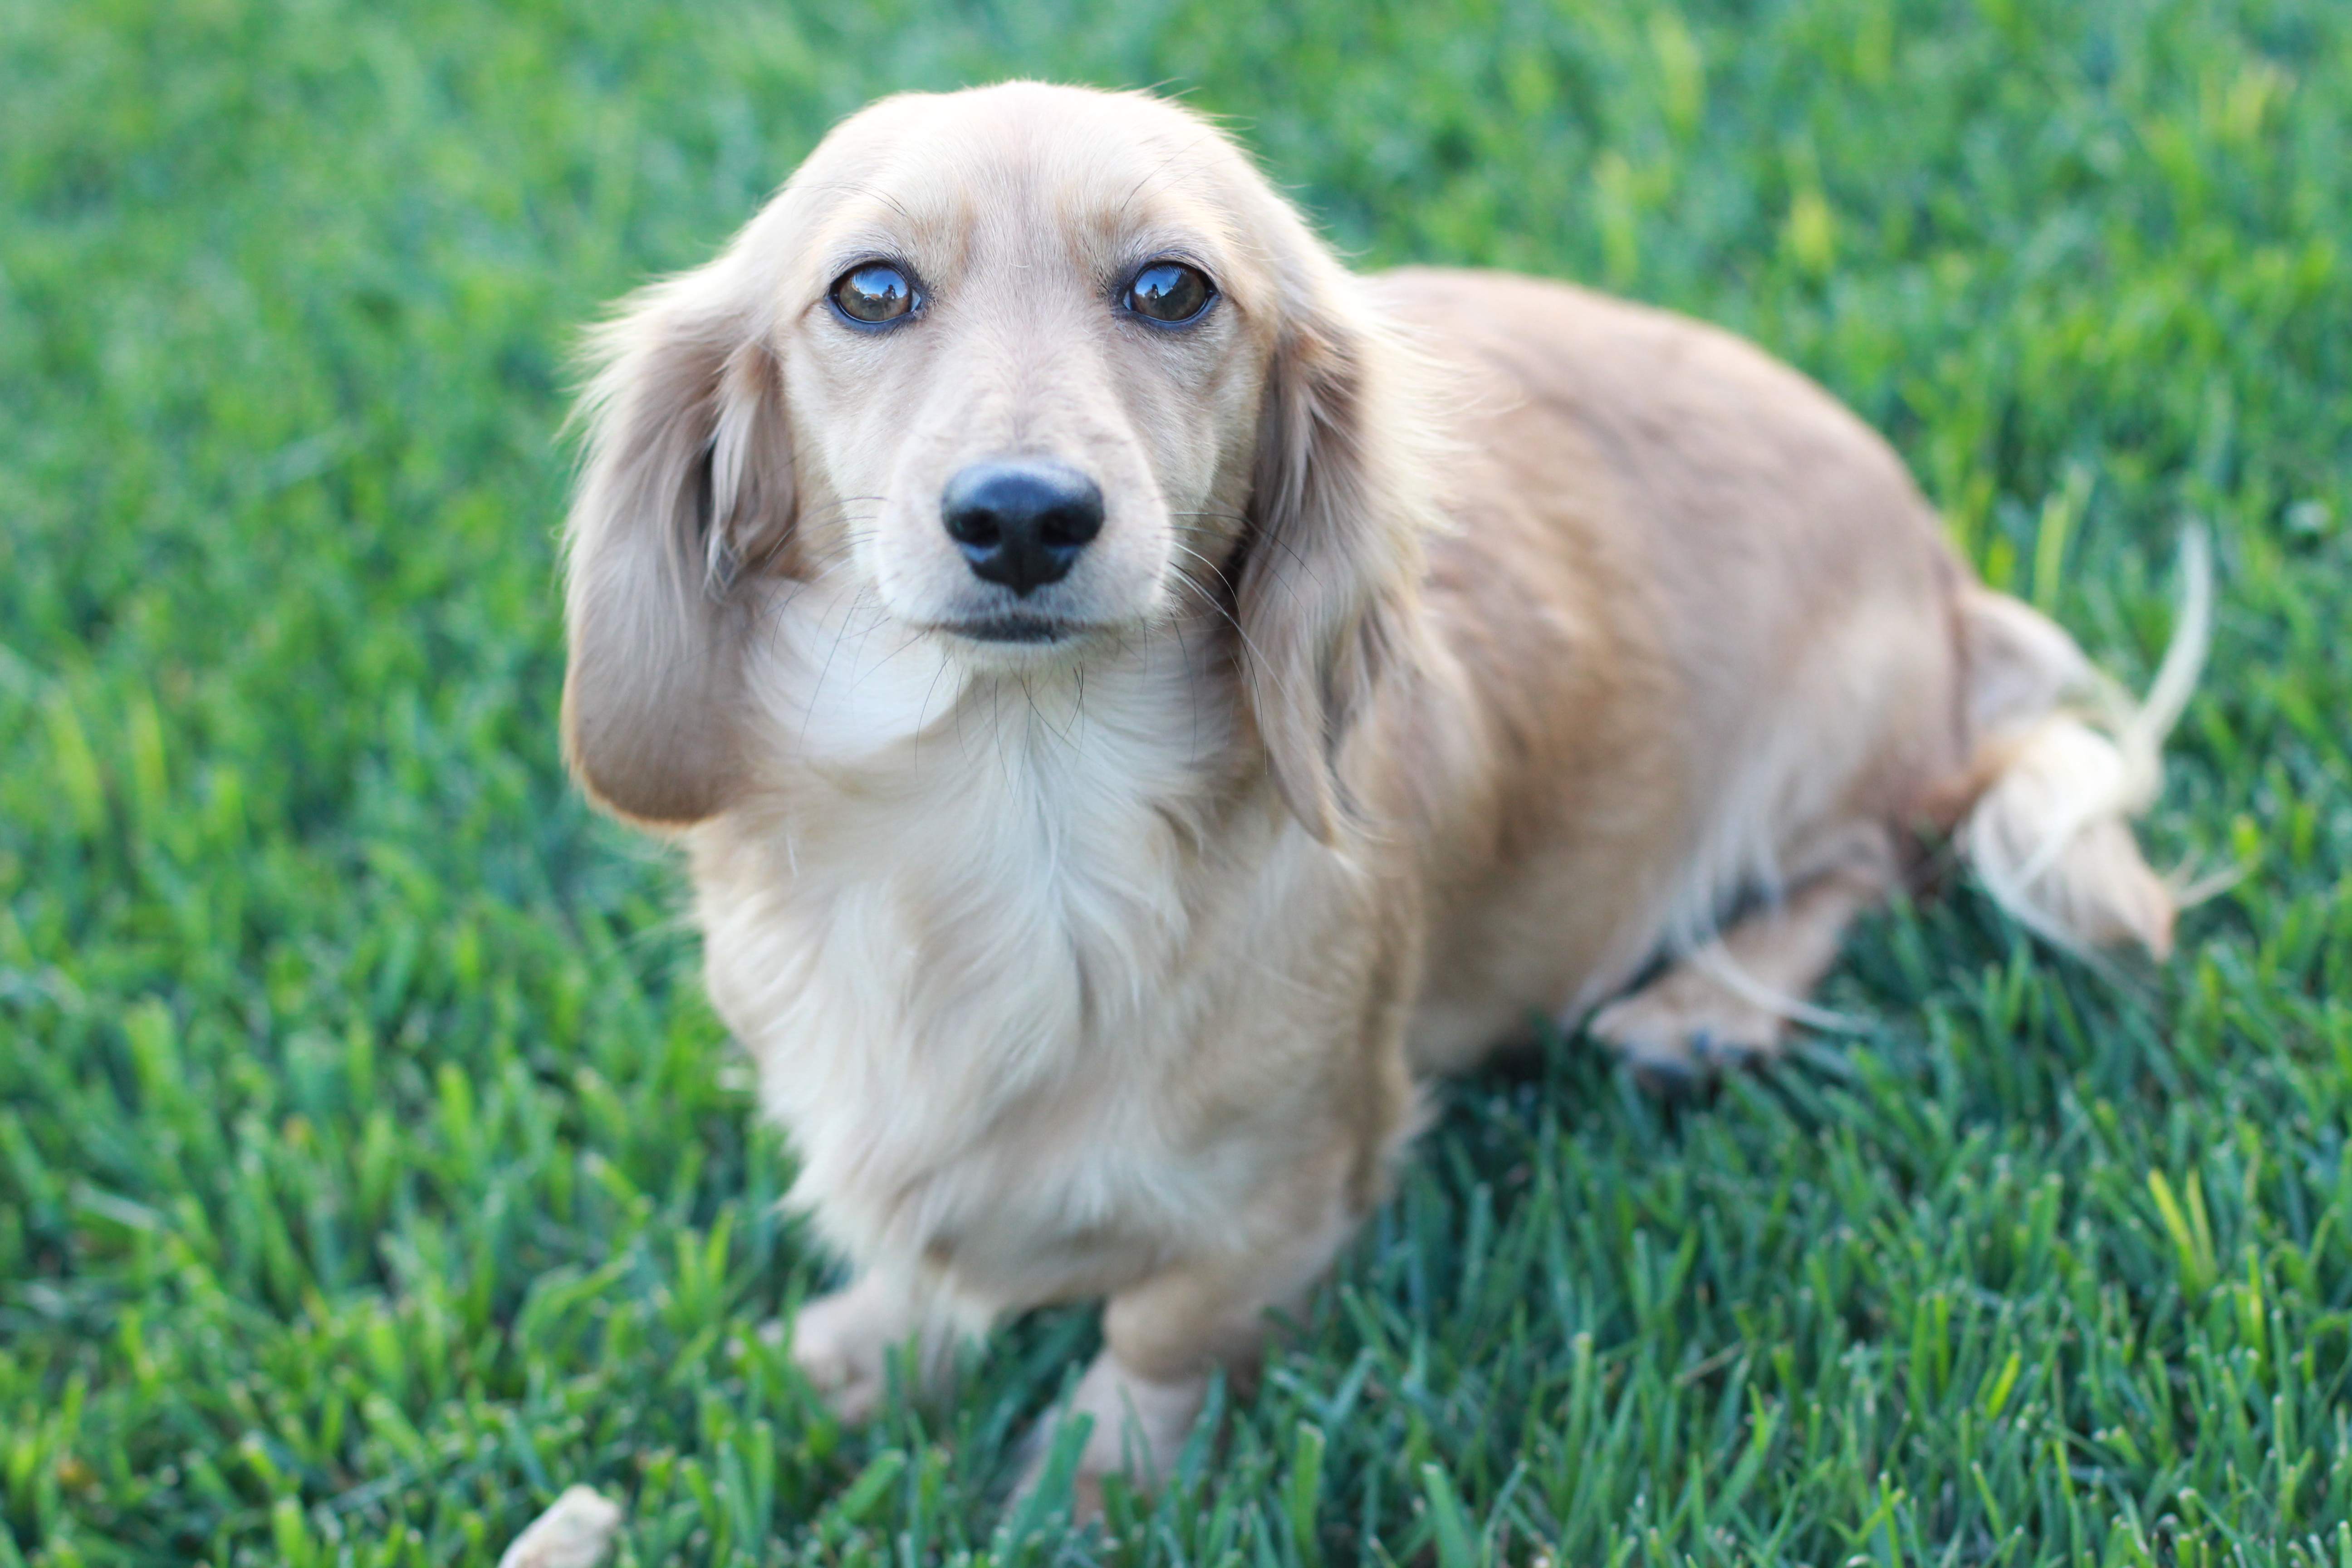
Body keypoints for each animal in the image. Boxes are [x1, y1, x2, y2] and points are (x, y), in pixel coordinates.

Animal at [555, 83, 2201, 1504]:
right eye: (872, 291)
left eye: (1172, 290)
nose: (1023, 518)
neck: (1011, 815)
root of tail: (1941, 572)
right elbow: (919, 1255)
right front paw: (870, 1344)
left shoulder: (1291, 1189)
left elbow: (1159, 1333)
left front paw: (1089, 1482)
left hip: (1829, 744)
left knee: (1880, 851)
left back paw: (1699, 1009)